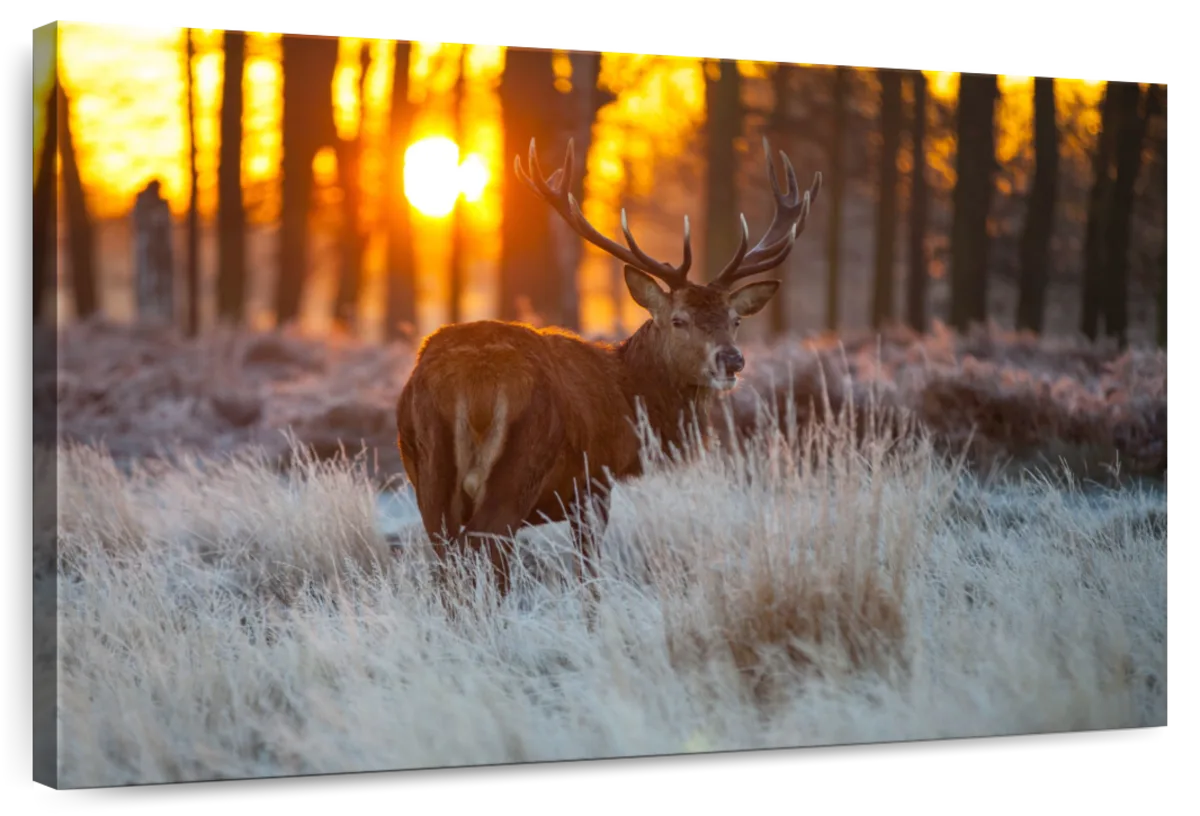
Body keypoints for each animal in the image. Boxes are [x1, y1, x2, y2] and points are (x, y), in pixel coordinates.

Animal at [395, 135, 821, 614]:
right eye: (679, 320)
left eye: (735, 320)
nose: (731, 361)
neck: (629, 398)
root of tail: (472, 382)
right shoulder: (593, 481)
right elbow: (589, 575)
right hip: (521, 463)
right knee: (484, 548)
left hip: (427, 468)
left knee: (447, 557)